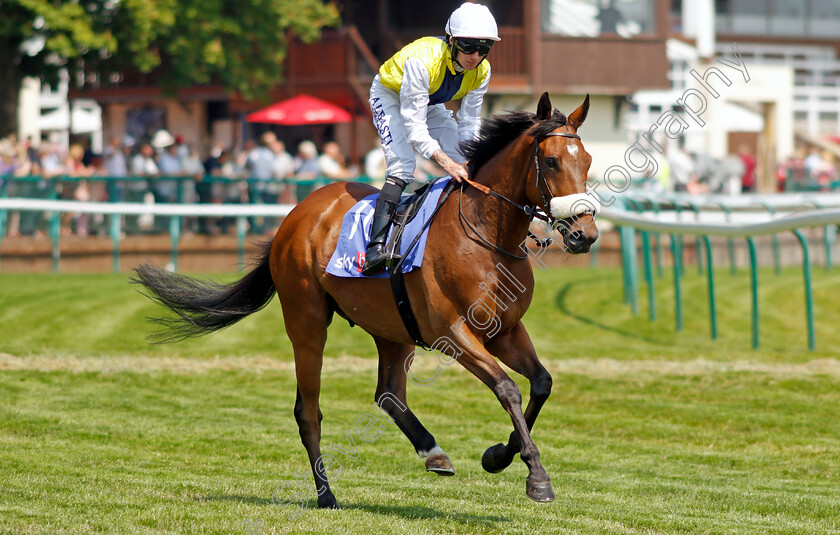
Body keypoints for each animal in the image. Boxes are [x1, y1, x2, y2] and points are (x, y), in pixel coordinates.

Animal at [133, 93, 596, 510]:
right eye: (551, 162)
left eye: (588, 161)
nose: (585, 234)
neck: (486, 235)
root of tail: (295, 216)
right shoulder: (453, 332)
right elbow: (507, 388)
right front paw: (536, 478)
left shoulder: (505, 330)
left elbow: (541, 383)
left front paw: (499, 455)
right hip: (306, 322)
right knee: (308, 411)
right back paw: (326, 495)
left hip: (393, 328)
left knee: (388, 393)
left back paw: (433, 452)